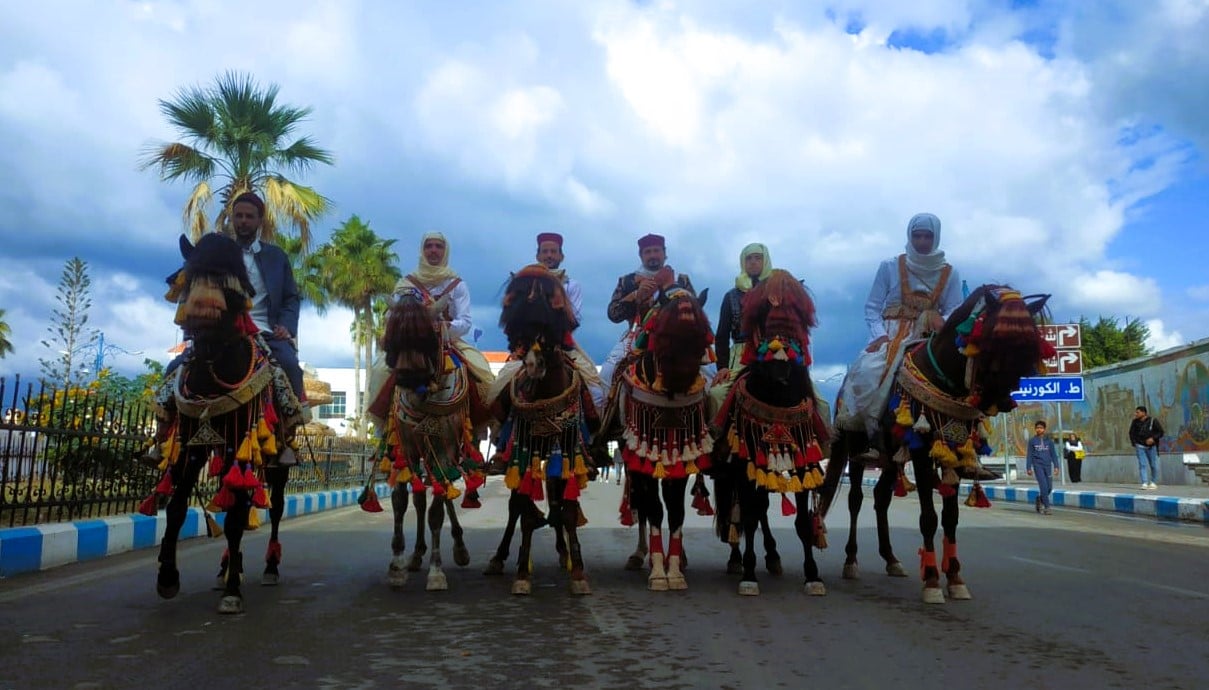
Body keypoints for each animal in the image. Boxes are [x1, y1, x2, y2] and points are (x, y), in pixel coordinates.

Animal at [148, 233, 304, 616]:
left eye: (232, 291)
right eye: (187, 282)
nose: (197, 332)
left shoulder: (238, 443)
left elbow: (235, 518)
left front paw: (234, 592)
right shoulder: (192, 444)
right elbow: (176, 508)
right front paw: (168, 577)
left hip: (277, 460)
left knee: (275, 508)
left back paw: (268, 568)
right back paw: (225, 569)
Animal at [372, 288, 495, 592]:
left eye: (426, 336)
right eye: (391, 336)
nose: (405, 378)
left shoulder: (444, 447)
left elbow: (438, 509)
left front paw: (437, 572)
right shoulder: (405, 449)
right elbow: (401, 501)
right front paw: (397, 565)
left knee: (445, 490)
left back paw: (459, 548)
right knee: (419, 498)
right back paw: (416, 554)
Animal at [481, 262, 594, 596]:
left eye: (552, 315)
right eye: (518, 325)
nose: (532, 366)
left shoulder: (567, 449)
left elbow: (567, 508)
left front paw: (578, 571)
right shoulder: (524, 449)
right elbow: (523, 509)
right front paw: (521, 572)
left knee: (556, 499)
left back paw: (564, 552)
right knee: (516, 508)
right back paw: (499, 558)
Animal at [710, 273, 836, 596]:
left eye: (798, 316)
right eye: (764, 316)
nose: (780, 369)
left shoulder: (805, 460)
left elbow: (802, 522)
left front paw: (813, 575)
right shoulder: (744, 462)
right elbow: (748, 516)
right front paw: (749, 575)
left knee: (761, 508)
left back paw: (773, 556)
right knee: (743, 512)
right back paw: (738, 560)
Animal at [817, 283, 1054, 601]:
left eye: (1027, 346)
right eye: (994, 339)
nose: (1004, 401)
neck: (944, 378)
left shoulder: (954, 451)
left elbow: (951, 516)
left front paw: (955, 578)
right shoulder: (920, 450)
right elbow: (928, 516)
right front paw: (931, 581)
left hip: (891, 456)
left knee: (880, 497)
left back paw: (891, 559)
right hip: (855, 447)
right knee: (855, 499)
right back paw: (851, 561)